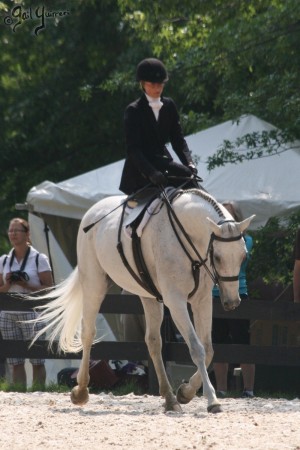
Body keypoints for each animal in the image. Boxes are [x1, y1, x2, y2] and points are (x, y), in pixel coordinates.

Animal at [30, 187, 254, 414]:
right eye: (217, 257)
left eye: (244, 257)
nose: (232, 302)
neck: (188, 238)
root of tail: (92, 211)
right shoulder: (175, 301)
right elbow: (196, 349)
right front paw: (212, 400)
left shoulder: (202, 300)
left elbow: (208, 350)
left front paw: (185, 392)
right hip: (94, 284)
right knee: (88, 333)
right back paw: (81, 391)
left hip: (149, 297)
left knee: (153, 341)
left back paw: (169, 398)